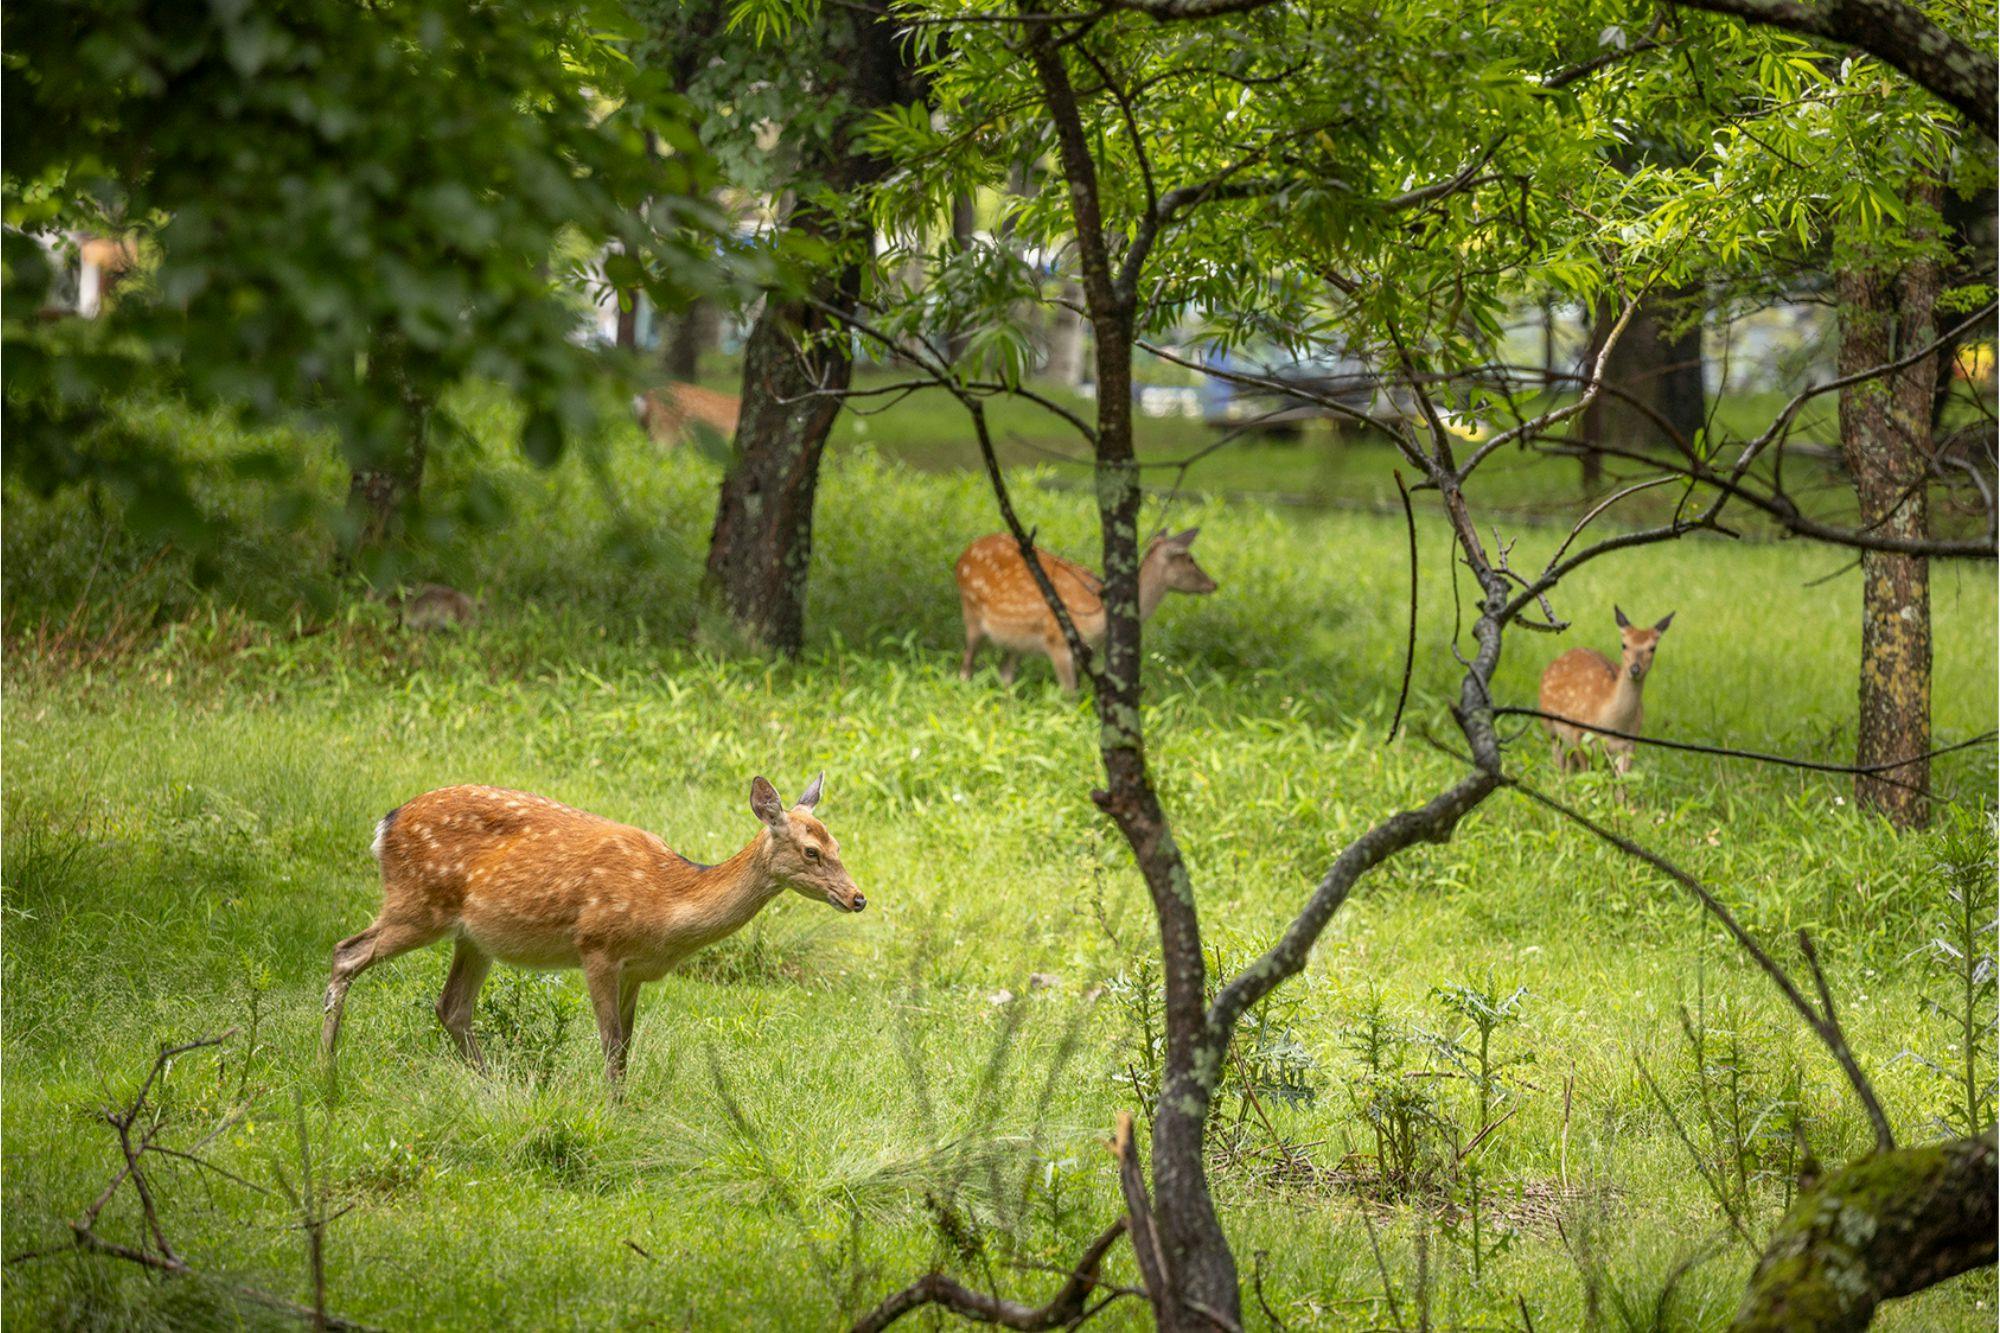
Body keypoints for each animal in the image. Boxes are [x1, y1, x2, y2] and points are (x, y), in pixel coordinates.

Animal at [320, 774, 861, 1083]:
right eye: (811, 852)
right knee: (346, 951)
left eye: (838, 845)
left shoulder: (636, 972)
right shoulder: (597, 946)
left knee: (451, 1006)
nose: (858, 897)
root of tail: (385, 826)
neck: (668, 904)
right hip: (418, 902)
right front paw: (612, 1112)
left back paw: (491, 1085)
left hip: (473, 937)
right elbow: (609, 1040)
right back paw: (326, 1064)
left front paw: (624, 1109)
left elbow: (626, 1045)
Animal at [954, 528, 1217, 693]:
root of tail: (961, 556)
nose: (1213, 583)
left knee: (1005, 674)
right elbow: (1069, 694)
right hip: (971, 613)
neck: (1098, 618)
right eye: (1189, 559)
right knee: (966, 667)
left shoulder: (1088, 652)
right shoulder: (1057, 641)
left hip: (1014, 639)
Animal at [1538, 607, 1675, 775]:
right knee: (1560, 767)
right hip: (1550, 727)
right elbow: (1586, 775)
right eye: (1624, 644)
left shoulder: (1631, 742)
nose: (1635, 669)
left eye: (1652, 648)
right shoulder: (1578, 732)